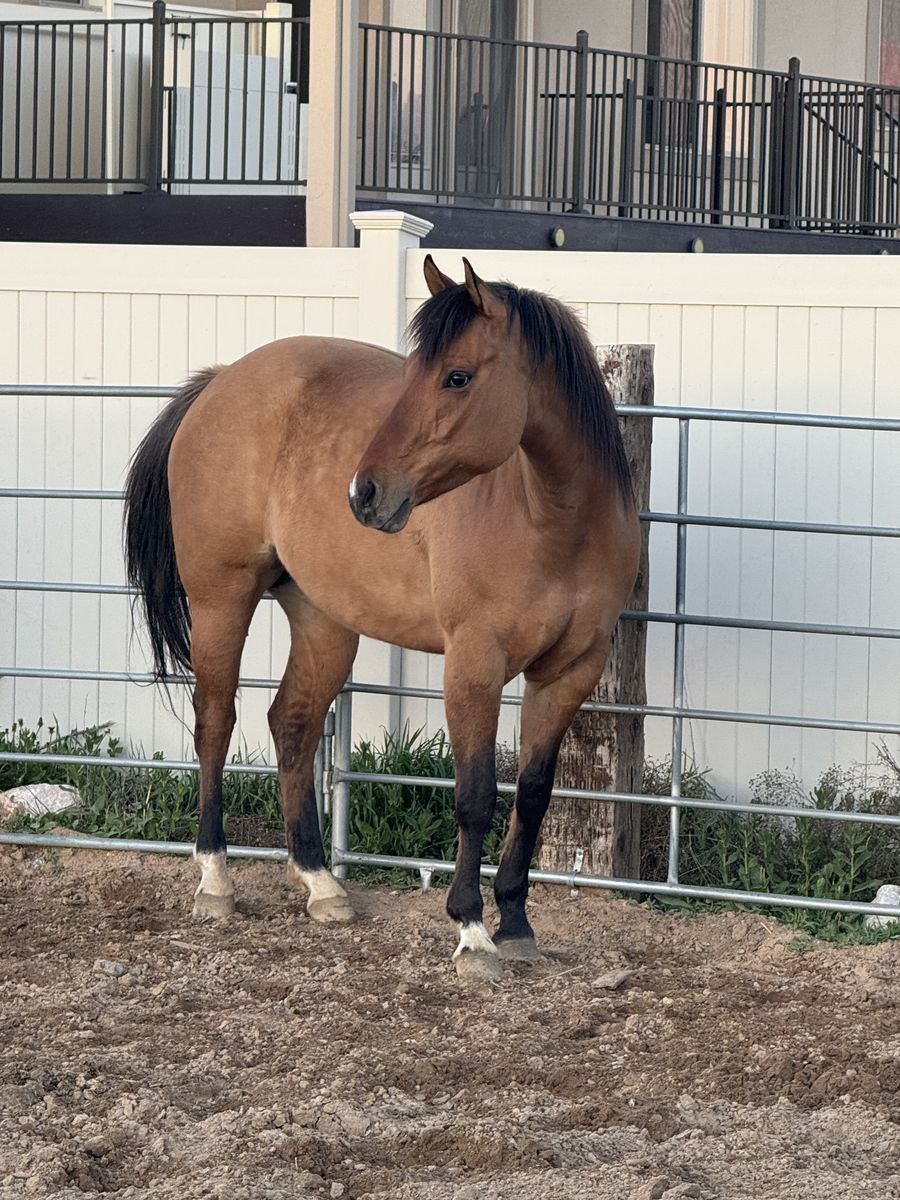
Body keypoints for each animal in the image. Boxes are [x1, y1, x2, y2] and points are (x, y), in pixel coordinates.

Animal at [124, 257, 640, 980]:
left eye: (457, 376)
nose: (364, 492)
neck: (550, 518)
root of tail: (221, 381)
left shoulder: (570, 670)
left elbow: (534, 794)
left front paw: (515, 921)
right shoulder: (474, 665)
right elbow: (475, 794)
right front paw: (472, 931)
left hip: (323, 618)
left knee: (292, 724)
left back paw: (320, 883)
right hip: (221, 598)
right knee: (215, 723)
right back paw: (216, 879)